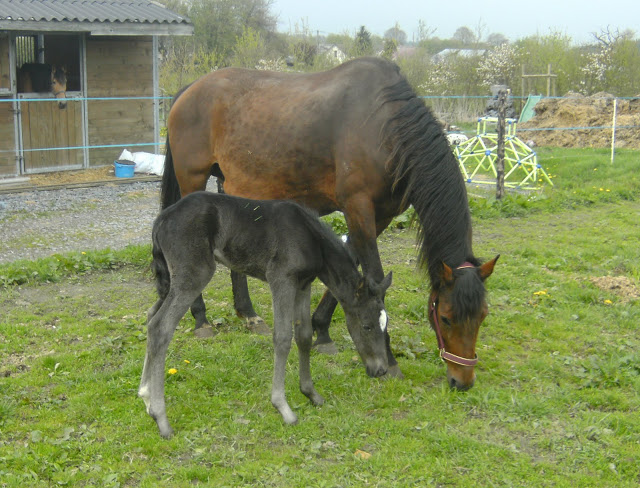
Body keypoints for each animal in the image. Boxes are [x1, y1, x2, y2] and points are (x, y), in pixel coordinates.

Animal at [161, 57, 500, 390]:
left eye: (483, 316)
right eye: (445, 317)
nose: (462, 381)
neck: (385, 128)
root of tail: (189, 89)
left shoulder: (381, 216)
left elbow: (350, 267)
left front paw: (322, 330)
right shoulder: (358, 207)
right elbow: (374, 277)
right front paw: (389, 359)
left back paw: (248, 314)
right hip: (193, 182)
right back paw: (201, 319)